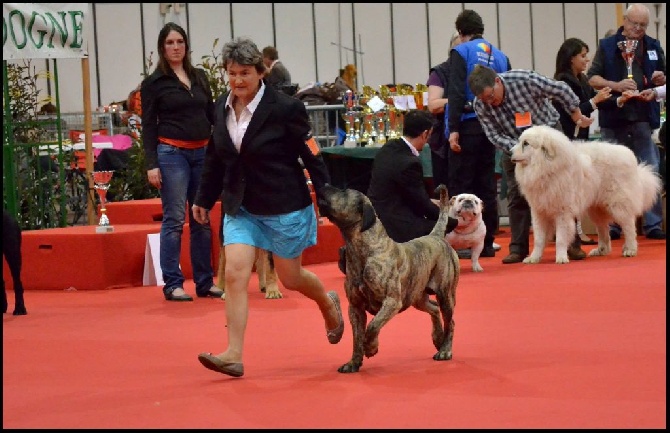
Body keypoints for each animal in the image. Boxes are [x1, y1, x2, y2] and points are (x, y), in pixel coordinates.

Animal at [320, 183, 462, 372]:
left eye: (343, 191)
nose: (325, 184)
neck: (362, 249)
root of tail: (436, 236)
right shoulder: (355, 307)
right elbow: (357, 337)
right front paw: (353, 363)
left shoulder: (391, 301)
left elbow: (372, 326)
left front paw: (371, 347)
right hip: (416, 297)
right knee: (433, 308)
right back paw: (438, 337)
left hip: (445, 295)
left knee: (450, 321)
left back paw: (445, 350)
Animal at [516, 123, 660, 262]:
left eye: (526, 144)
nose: (511, 152)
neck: (546, 169)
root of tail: (630, 156)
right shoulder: (539, 212)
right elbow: (539, 239)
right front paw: (533, 258)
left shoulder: (562, 213)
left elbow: (560, 239)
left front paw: (561, 258)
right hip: (597, 210)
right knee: (603, 230)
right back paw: (601, 250)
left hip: (618, 205)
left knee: (629, 226)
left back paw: (630, 249)